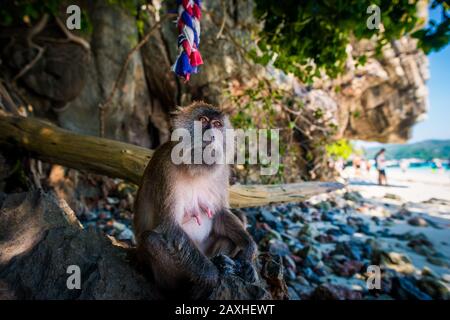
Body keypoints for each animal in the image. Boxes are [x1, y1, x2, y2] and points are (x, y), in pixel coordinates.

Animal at [134, 101, 256, 298]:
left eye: (217, 124)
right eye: (203, 120)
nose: (211, 134)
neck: (195, 167)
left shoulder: (222, 171)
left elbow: (220, 214)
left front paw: (248, 251)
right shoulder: (166, 169)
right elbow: (170, 226)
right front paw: (212, 275)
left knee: (239, 219)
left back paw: (223, 263)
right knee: (150, 240)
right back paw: (182, 290)